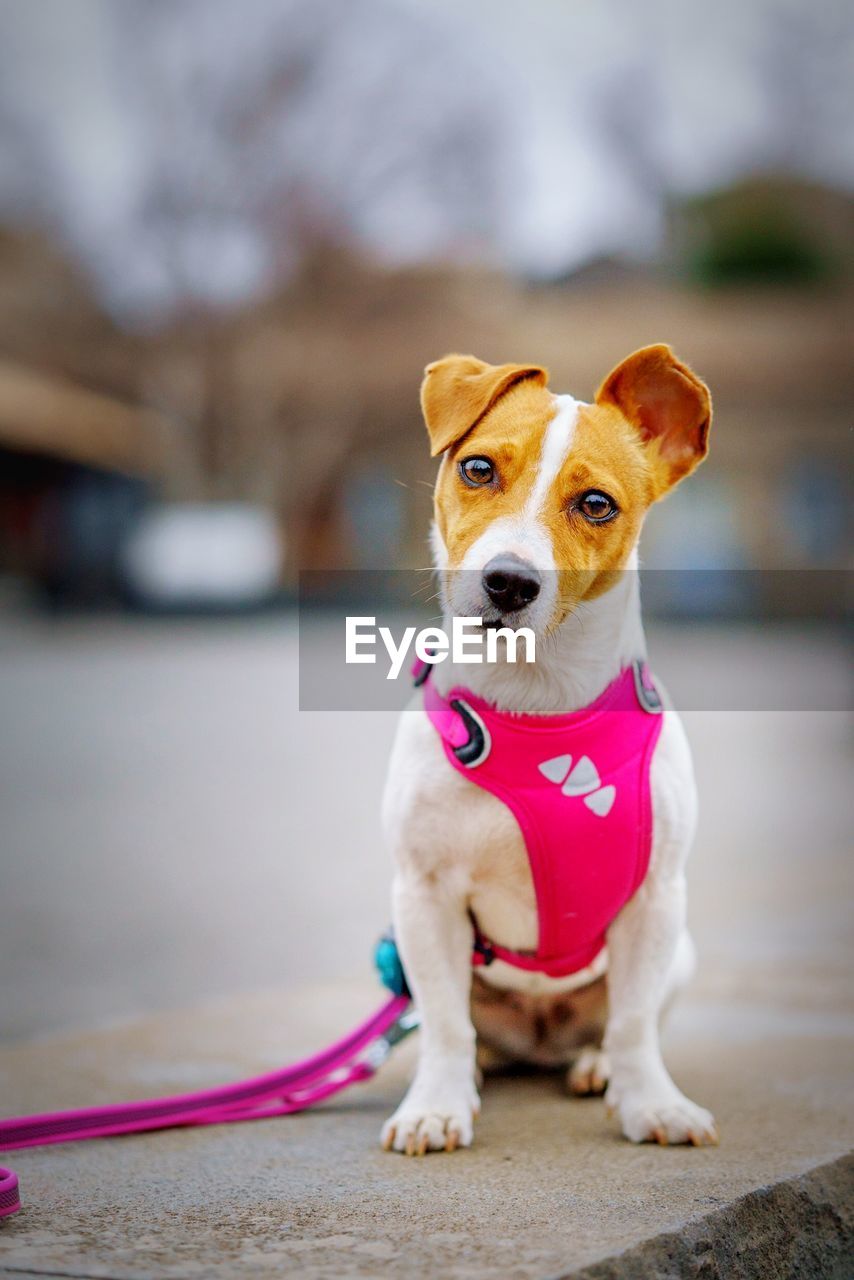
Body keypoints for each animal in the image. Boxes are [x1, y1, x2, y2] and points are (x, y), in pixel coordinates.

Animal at [376, 345, 717, 1157]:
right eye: (476, 469)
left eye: (595, 504)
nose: (508, 582)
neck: (536, 702)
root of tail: (537, 1033)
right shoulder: (425, 896)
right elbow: (444, 1024)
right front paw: (436, 1105)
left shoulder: (655, 900)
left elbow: (634, 1023)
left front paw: (650, 1102)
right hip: (402, 947)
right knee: (460, 1026)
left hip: (679, 948)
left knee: (620, 1021)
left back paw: (597, 1066)